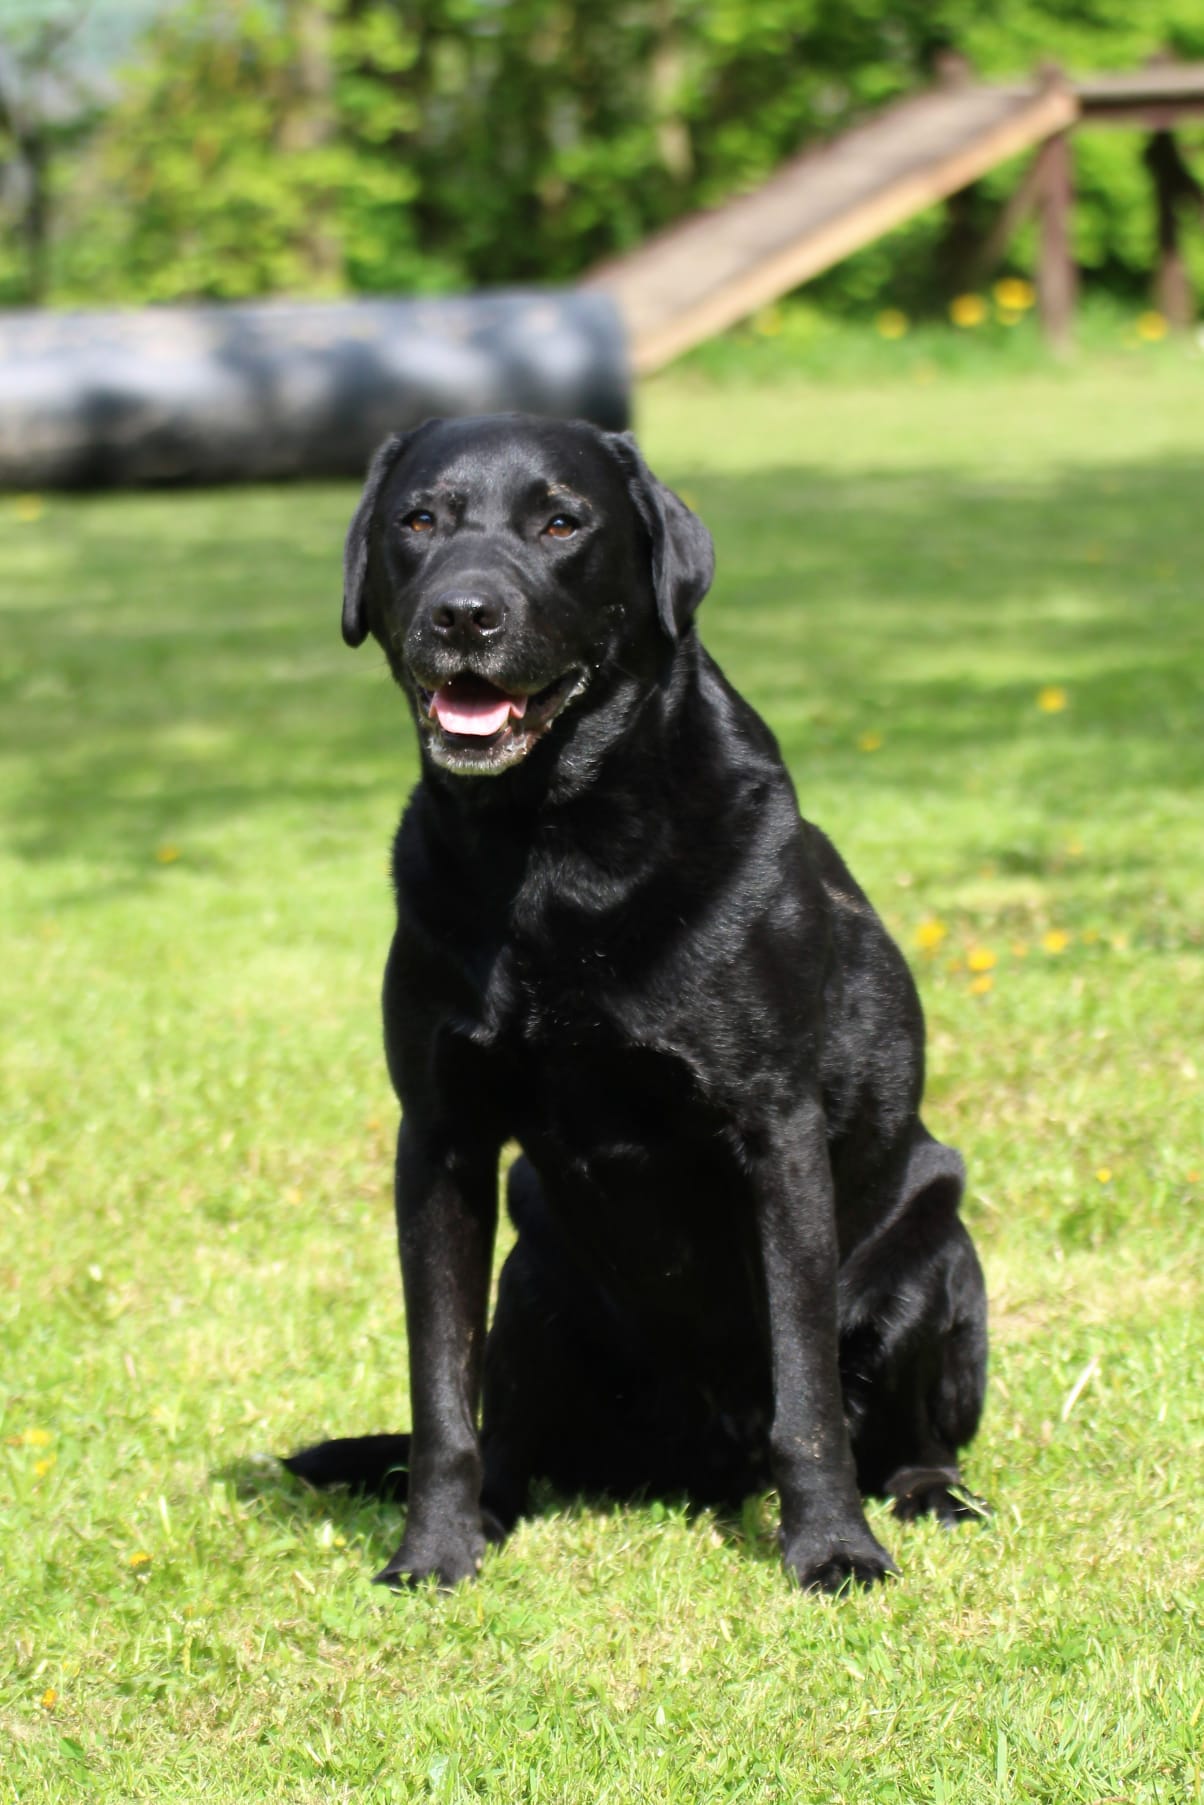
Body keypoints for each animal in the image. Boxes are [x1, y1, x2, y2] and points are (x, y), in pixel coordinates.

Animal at [285, 413, 989, 1595]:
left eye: (562, 522)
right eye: (417, 521)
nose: (463, 612)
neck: (552, 847)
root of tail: (700, 1461)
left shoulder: (775, 1133)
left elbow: (806, 1394)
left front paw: (833, 1550)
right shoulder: (440, 1139)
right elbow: (439, 1395)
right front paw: (432, 1553)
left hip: (935, 1251)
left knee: (906, 1429)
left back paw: (927, 1492)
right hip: (534, 1273)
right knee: (504, 1428)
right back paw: (495, 1509)